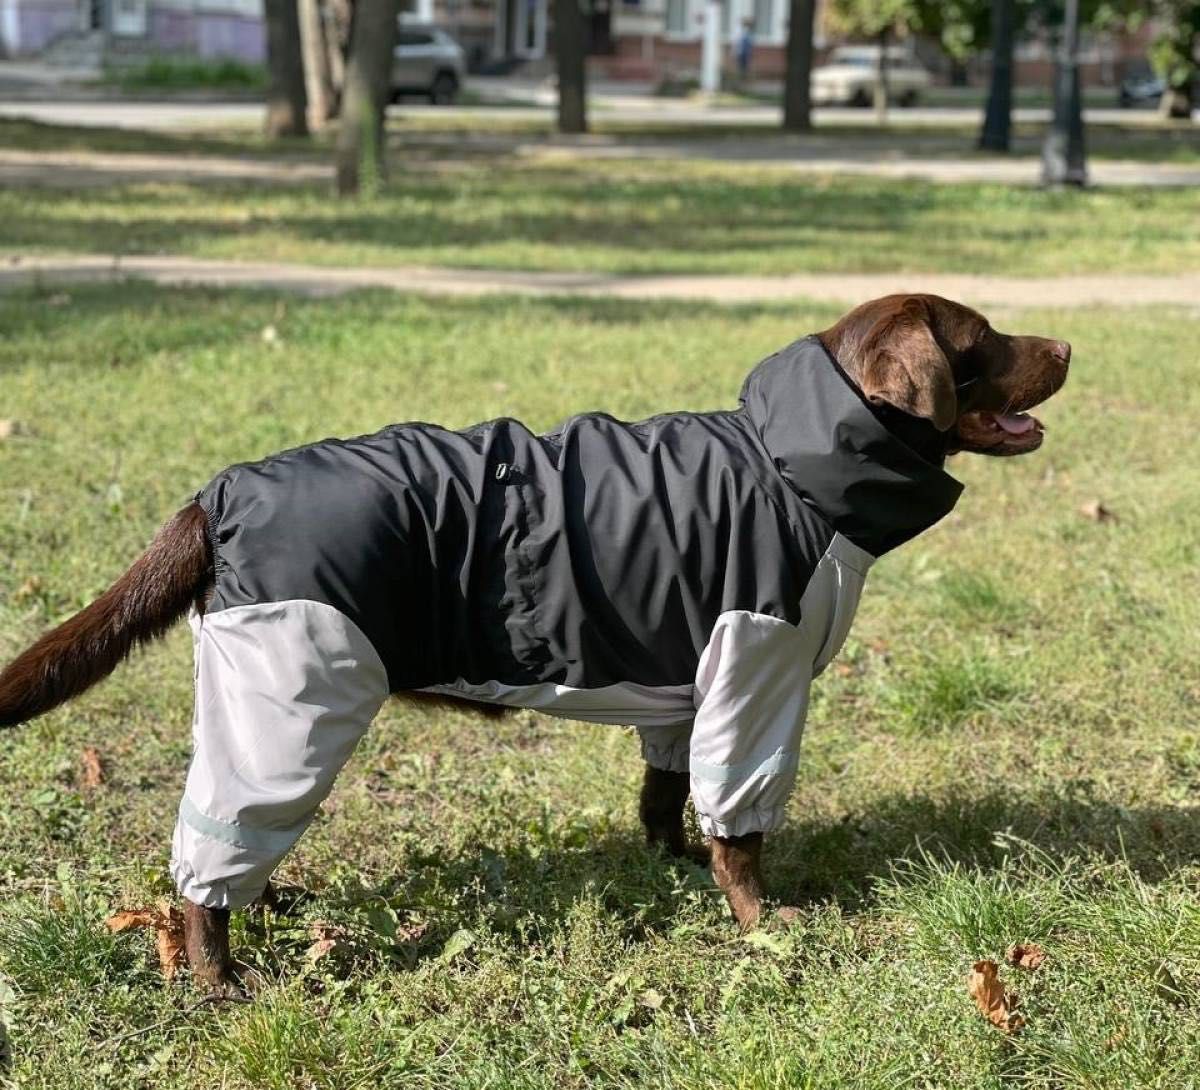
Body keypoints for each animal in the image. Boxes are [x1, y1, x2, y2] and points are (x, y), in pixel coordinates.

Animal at [0, 294, 1070, 993]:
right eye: (985, 338)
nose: (1066, 342)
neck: (794, 464)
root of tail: (222, 492)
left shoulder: (690, 686)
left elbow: (665, 796)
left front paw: (672, 866)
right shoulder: (755, 672)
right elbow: (743, 829)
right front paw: (764, 928)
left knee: (237, 834)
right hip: (294, 686)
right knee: (211, 859)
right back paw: (220, 980)